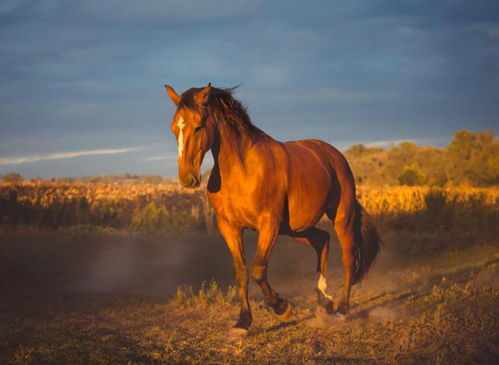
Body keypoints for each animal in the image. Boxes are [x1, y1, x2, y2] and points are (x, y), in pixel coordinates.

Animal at [166, 84, 380, 336]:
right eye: (174, 128)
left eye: (198, 126)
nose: (187, 179)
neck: (242, 170)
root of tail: (334, 155)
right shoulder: (229, 227)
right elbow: (241, 272)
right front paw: (242, 323)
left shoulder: (268, 225)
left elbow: (258, 269)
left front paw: (282, 308)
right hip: (296, 228)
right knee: (322, 240)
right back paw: (324, 300)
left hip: (340, 218)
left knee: (348, 257)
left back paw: (341, 309)